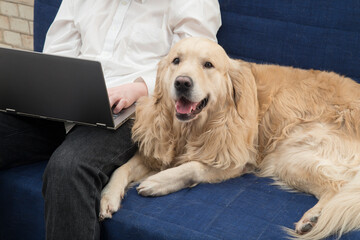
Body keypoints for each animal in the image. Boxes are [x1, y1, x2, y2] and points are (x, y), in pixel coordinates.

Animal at [100, 36, 360, 239]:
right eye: (176, 61)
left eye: (208, 64)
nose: (182, 82)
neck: (192, 129)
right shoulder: (157, 152)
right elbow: (122, 168)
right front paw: (108, 197)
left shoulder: (237, 161)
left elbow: (193, 167)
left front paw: (158, 182)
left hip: (289, 155)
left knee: (337, 187)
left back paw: (313, 217)